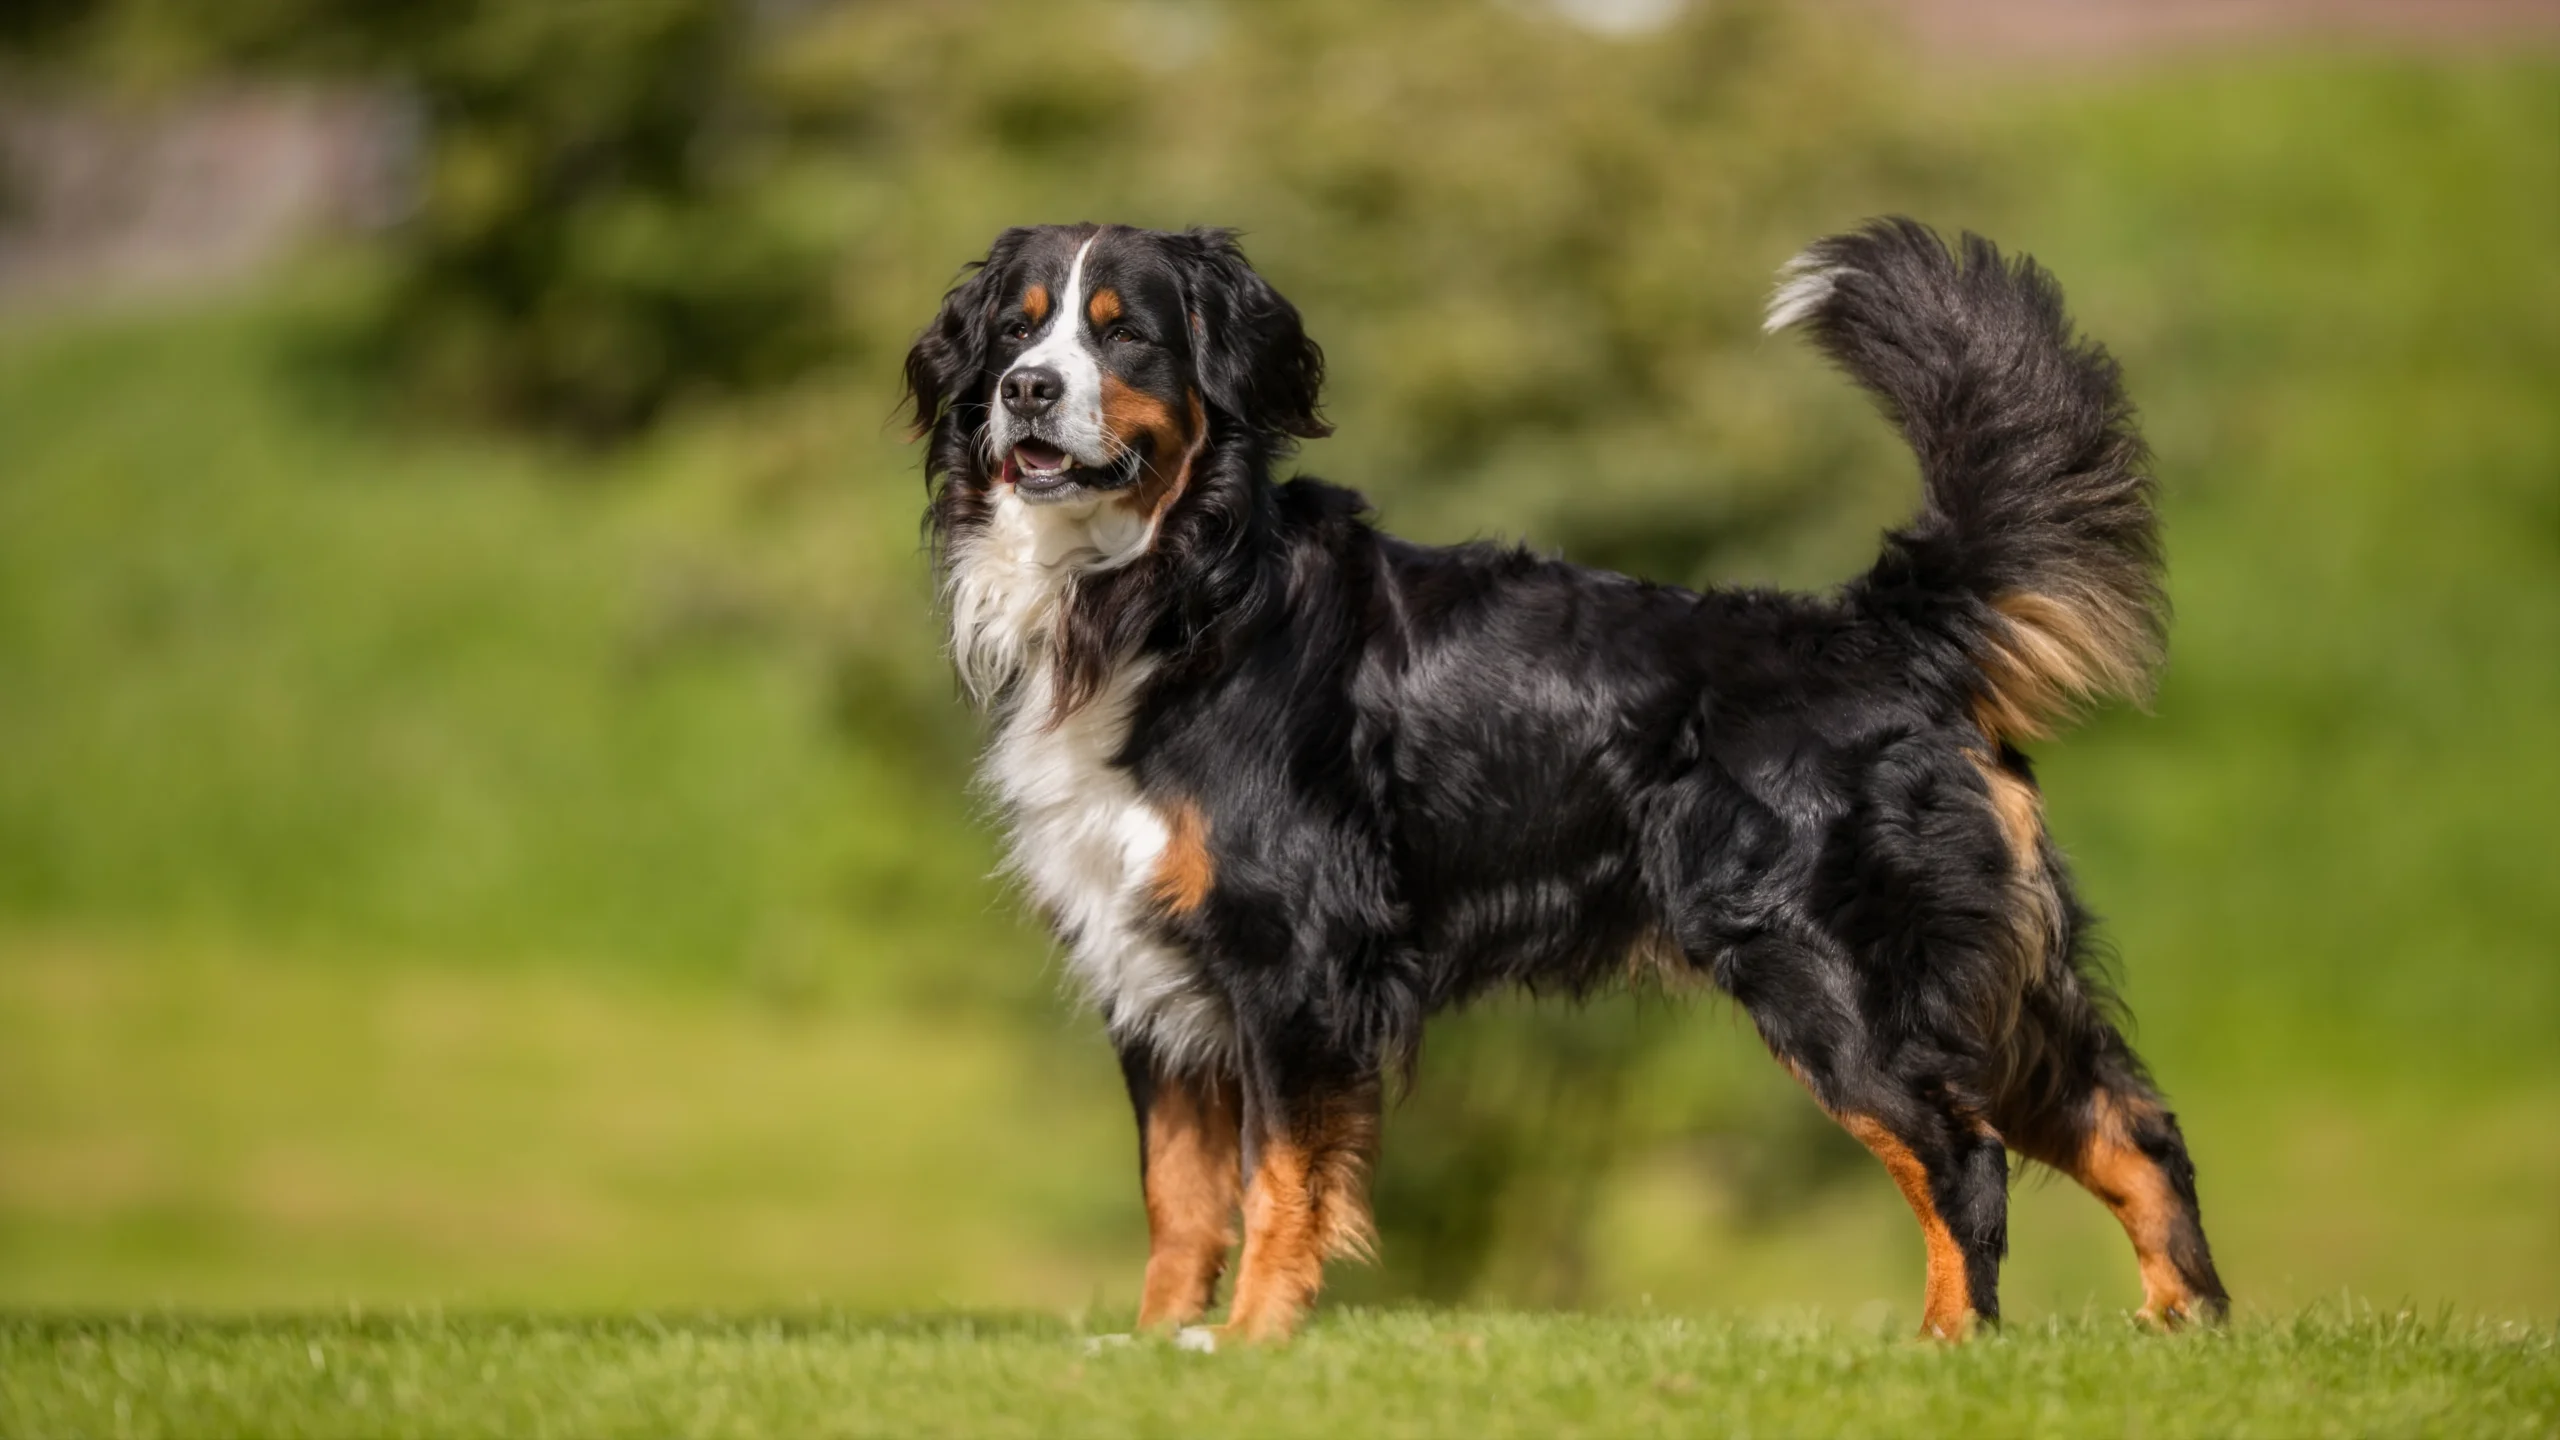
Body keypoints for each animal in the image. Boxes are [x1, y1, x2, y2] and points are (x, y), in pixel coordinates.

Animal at [911, 219, 2232, 1342]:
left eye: (1123, 332)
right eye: (1018, 332)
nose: (1028, 391)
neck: (1175, 593)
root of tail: (1878, 631)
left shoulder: (1291, 961)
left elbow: (1277, 1180)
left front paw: (1250, 1348)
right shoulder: (1152, 969)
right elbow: (1181, 1201)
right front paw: (1157, 1353)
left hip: (1836, 978)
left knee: (1964, 1157)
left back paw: (1948, 1352)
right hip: (1989, 983)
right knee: (2135, 1129)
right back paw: (2187, 1330)